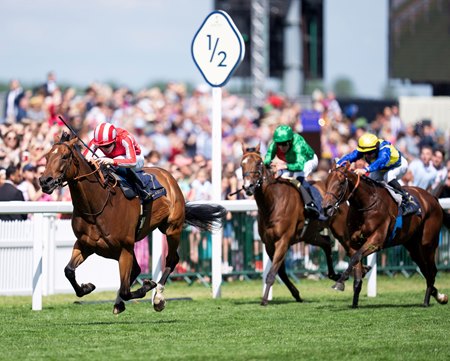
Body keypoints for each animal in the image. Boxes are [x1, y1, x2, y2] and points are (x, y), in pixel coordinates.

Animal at [40, 132, 227, 312]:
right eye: (47, 156)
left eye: (65, 156)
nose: (44, 181)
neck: (97, 205)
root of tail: (169, 177)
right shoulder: (86, 244)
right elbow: (69, 271)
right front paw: (87, 287)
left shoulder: (125, 247)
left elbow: (126, 289)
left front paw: (148, 285)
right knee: (137, 269)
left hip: (172, 229)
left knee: (171, 259)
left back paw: (158, 297)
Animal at [239, 143, 352, 304]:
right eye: (242, 164)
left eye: (259, 163)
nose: (248, 186)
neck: (272, 203)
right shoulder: (269, 244)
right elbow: (280, 272)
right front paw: (296, 294)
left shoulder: (283, 241)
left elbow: (273, 272)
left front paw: (265, 299)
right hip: (309, 234)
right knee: (326, 242)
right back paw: (334, 275)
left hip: (341, 230)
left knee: (352, 249)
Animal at [322, 162, 448, 306]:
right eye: (326, 182)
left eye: (341, 182)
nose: (326, 208)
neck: (366, 203)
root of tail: (433, 198)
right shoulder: (354, 243)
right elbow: (356, 265)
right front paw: (354, 302)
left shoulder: (376, 241)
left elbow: (355, 258)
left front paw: (339, 283)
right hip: (413, 247)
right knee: (425, 270)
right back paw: (439, 296)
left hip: (428, 244)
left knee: (432, 271)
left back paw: (427, 301)